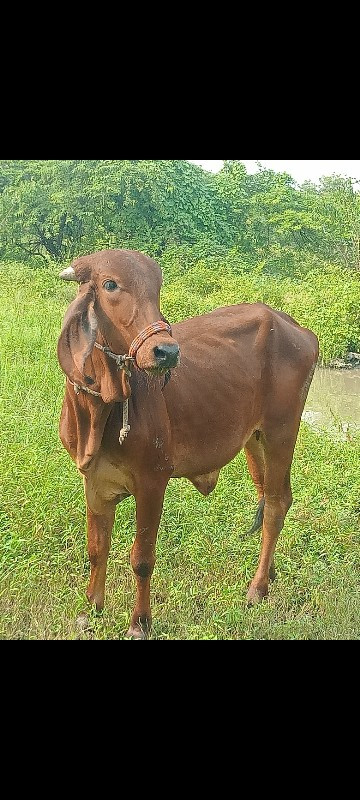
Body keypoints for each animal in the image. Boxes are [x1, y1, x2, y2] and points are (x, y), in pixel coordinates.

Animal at [56, 247, 318, 640]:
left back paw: (257, 588)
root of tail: (293, 326)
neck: (100, 406)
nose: (166, 352)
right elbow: (96, 548)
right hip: (254, 439)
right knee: (272, 496)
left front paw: (139, 622)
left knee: (275, 504)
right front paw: (91, 609)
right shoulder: (94, 481)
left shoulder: (153, 480)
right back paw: (269, 574)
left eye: (157, 287)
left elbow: (142, 558)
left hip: (282, 431)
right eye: (110, 285)